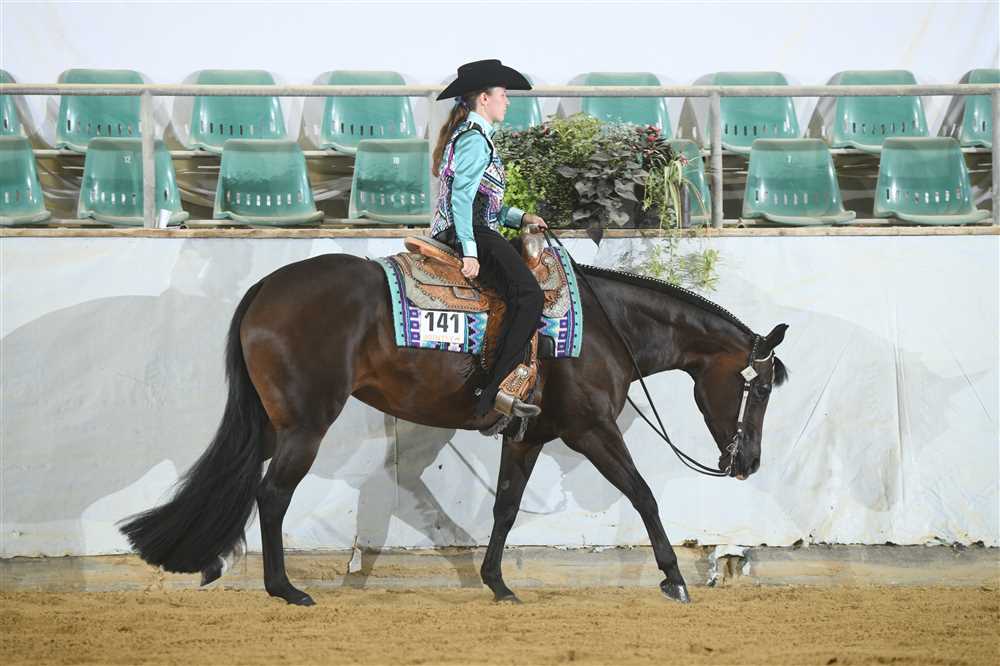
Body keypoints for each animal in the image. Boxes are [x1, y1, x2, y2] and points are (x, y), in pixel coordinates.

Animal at [120, 236, 789, 606]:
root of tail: (265, 288)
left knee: (240, 481)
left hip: (273, 423)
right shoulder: (591, 430)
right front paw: (674, 579)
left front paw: (498, 584)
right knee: (271, 494)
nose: (749, 462)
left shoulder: (531, 434)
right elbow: (644, 494)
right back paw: (285, 589)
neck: (604, 327)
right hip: (306, 426)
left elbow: (506, 507)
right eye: (758, 388)